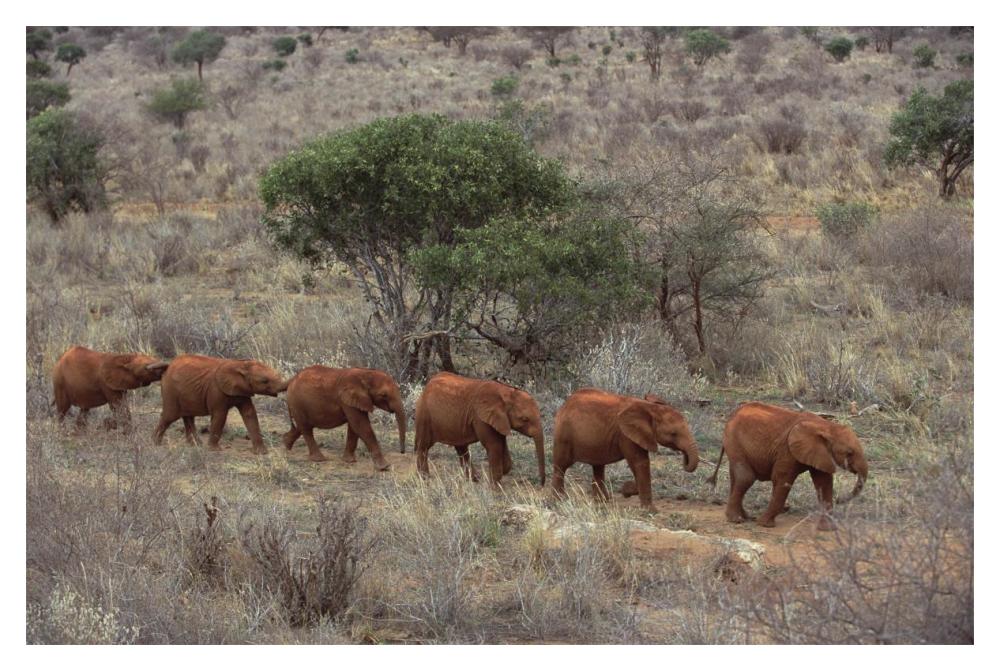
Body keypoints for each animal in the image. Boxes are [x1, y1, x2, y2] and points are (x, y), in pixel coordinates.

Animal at [152, 354, 287, 453]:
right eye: (264, 381)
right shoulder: (215, 390)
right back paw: (155, 444)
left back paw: (196, 445)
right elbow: (220, 416)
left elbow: (250, 414)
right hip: (170, 390)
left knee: (188, 417)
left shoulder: (242, 391)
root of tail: (168, 365)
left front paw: (262, 452)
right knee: (169, 416)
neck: (240, 365)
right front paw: (214, 450)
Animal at [414, 372, 545, 485]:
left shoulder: (499, 420)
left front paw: (501, 474)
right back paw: (425, 479)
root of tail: (427, 386)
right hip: (424, 415)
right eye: (525, 419)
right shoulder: (481, 418)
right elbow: (494, 445)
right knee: (423, 447)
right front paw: (495, 487)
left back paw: (474, 480)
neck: (506, 392)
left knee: (461, 449)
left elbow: (502, 444)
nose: (541, 484)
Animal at [552, 389, 699, 512]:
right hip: (564, 434)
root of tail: (565, 403)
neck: (649, 407)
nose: (684, 455)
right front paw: (649, 510)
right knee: (561, 466)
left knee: (598, 466)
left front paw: (628, 490)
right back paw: (559, 500)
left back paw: (603, 501)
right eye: (674, 434)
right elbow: (641, 463)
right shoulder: (627, 435)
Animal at [707, 402, 868, 530]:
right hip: (734, 440)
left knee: (736, 477)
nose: (840, 499)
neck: (827, 426)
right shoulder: (787, 451)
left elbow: (824, 484)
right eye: (849, 453)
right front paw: (765, 524)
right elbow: (782, 480)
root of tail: (733, 413)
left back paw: (745, 517)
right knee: (746, 477)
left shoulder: (819, 453)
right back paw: (736, 520)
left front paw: (827, 529)